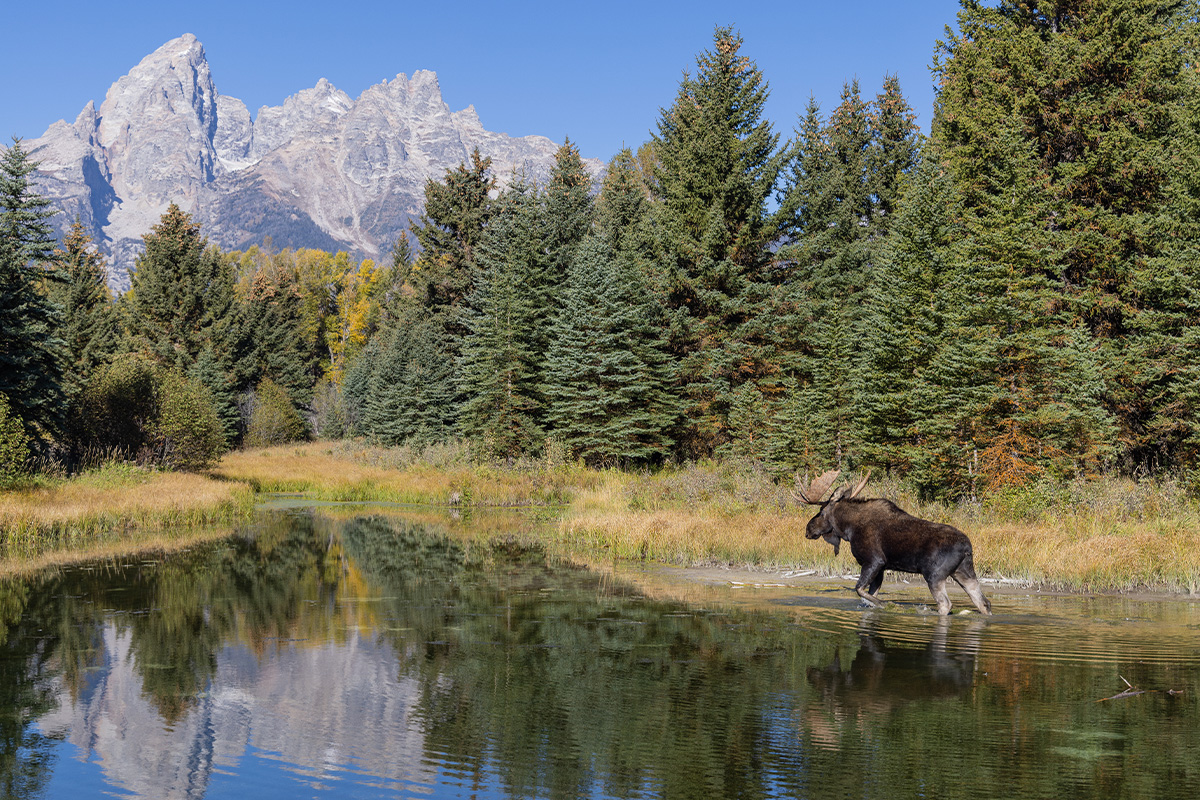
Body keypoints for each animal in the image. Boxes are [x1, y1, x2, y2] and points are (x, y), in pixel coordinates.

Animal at [796, 472, 993, 618]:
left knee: (946, 604)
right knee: (983, 602)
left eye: (821, 512)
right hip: (964, 572)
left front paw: (889, 605)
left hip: (935, 574)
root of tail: (967, 548)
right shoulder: (882, 567)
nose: (808, 529)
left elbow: (860, 590)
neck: (848, 529)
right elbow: (870, 594)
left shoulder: (874, 560)